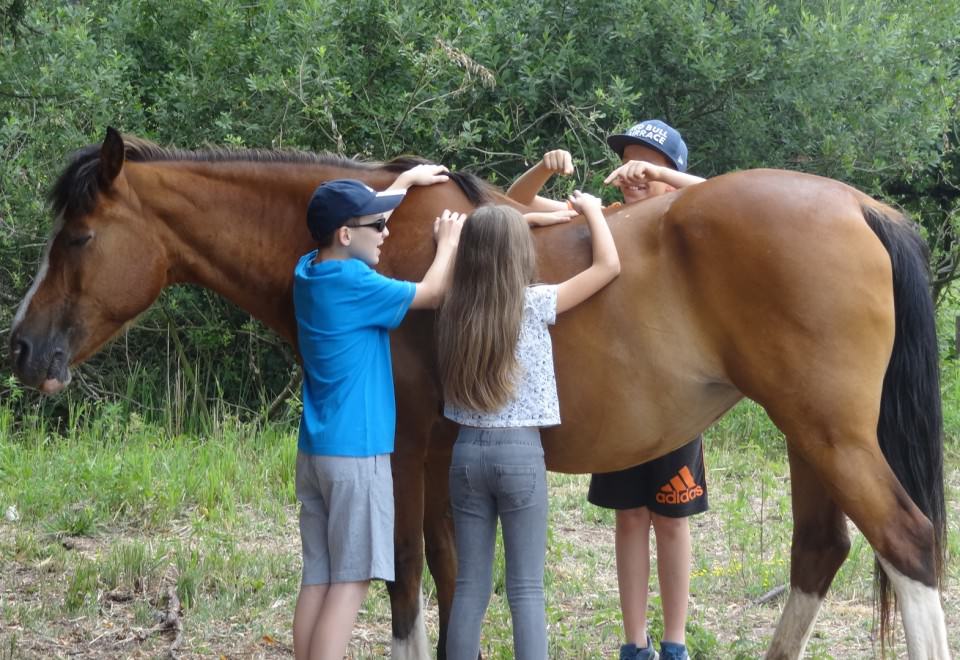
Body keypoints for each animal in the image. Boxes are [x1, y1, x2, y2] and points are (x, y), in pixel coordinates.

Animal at [11, 126, 948, 656]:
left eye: (80, 236)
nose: (20, 347)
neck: (379, 242)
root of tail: (860, 207)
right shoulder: (442, 455)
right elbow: (451, 574)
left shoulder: (404, 452)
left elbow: (403, 578)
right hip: (811, 438)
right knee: (820, 552)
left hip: (831, 436)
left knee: (908, 544)